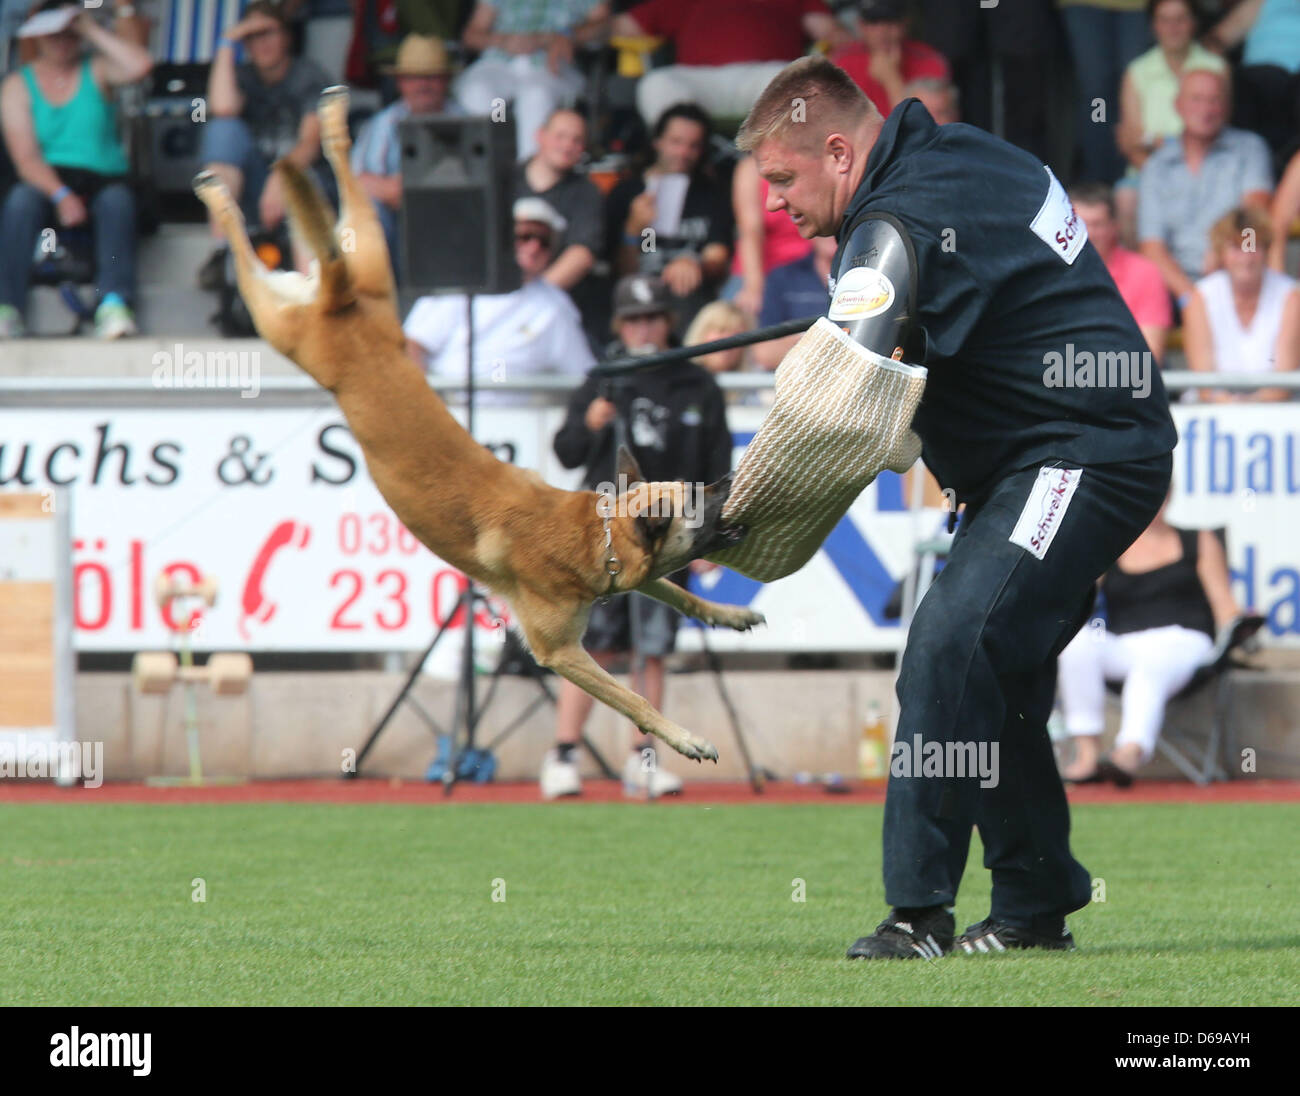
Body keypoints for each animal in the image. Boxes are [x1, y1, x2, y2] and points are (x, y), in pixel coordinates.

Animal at [193, 85, 759, 764]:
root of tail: (339, 301)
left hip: (372, 265)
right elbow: (633, 698)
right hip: (281, 328)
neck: (594, 533)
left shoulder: (636, 581)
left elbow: (677, 591)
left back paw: (330, 124)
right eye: (697, 500)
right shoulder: (560, 653)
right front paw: (686, 738)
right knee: (245, 257)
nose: (729, 481)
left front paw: (725, 615)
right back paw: (218, 196)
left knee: (345, 193)